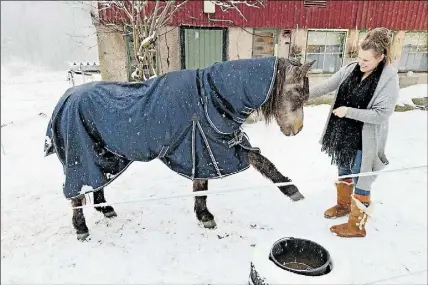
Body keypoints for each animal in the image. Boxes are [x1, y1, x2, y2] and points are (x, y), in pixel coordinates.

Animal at [44, 56, 314, 240]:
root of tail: (65, 98)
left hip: (104, 155)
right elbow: (250, 167)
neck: (210, 97)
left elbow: (252, 166)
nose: (297, 130)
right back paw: (81, 228)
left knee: (96, 182)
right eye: (298, 93)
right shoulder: (209, 145)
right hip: (80, 155)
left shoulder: (214, 146)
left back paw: (105, 209)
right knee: (77, 193)